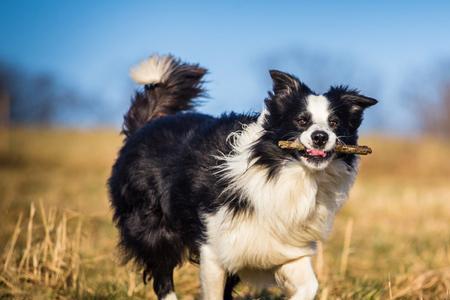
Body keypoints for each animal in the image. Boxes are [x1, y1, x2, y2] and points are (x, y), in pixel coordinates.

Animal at [108, 55, 376, 298]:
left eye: (335, 122)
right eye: (301, 120)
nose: (320, 136)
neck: (288, 173)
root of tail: (145, 126)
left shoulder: (283, 247)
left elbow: (310, 286)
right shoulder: (214, 248)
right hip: (154, 230)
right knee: (163, 279)